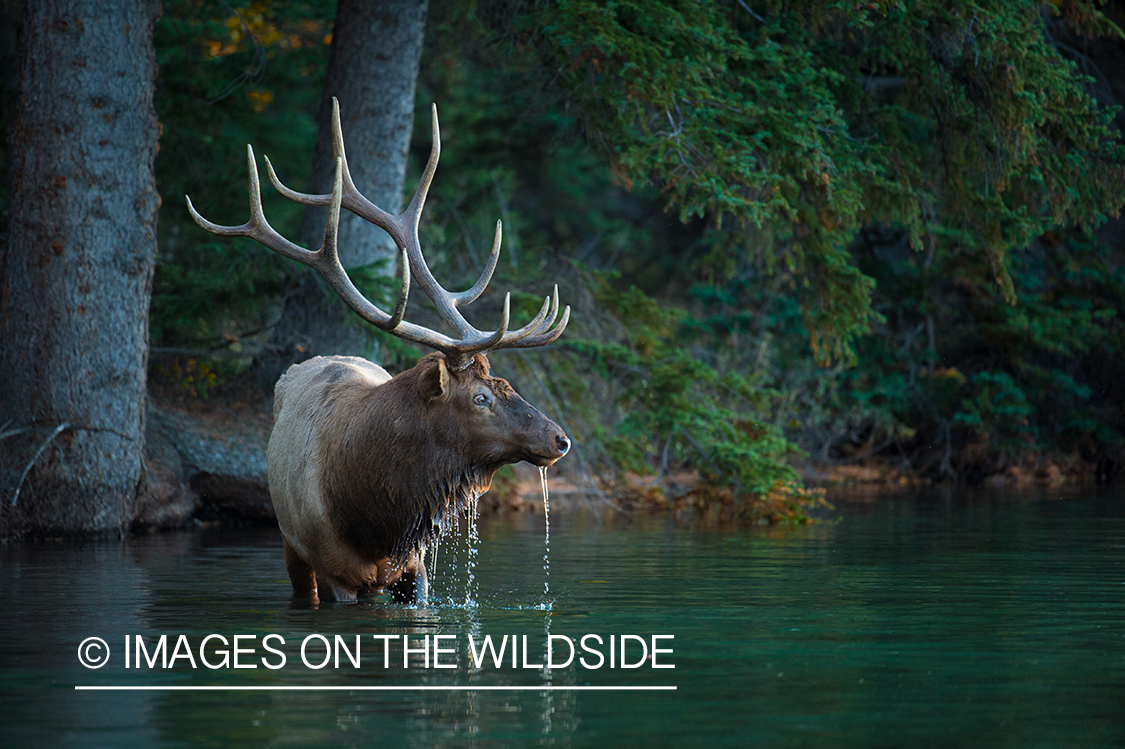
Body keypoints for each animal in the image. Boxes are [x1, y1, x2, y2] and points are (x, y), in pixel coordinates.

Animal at [189, 98, 571, 602]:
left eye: (506, 383)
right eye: (481, 397)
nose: (560, 438)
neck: (373, 515)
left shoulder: (415, 565)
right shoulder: (333, 569)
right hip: (291, 544)